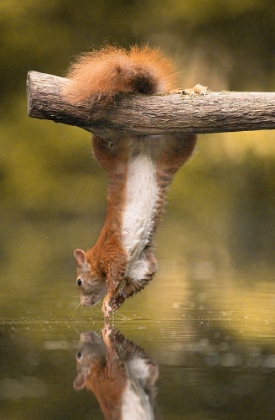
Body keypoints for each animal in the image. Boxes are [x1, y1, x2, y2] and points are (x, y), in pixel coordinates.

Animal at [63, 45, 208, 318]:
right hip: (172, 149)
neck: (98, 255)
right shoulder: (142, 265)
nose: (84, 303)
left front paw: (108, 300)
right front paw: (117, 301)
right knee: (186, 133)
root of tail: (140, 141)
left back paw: (189, 91)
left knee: (107, 137)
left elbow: (114, 277)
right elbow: (136, 282)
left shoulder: (113, 253)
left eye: (79, 281)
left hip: (115, 147)